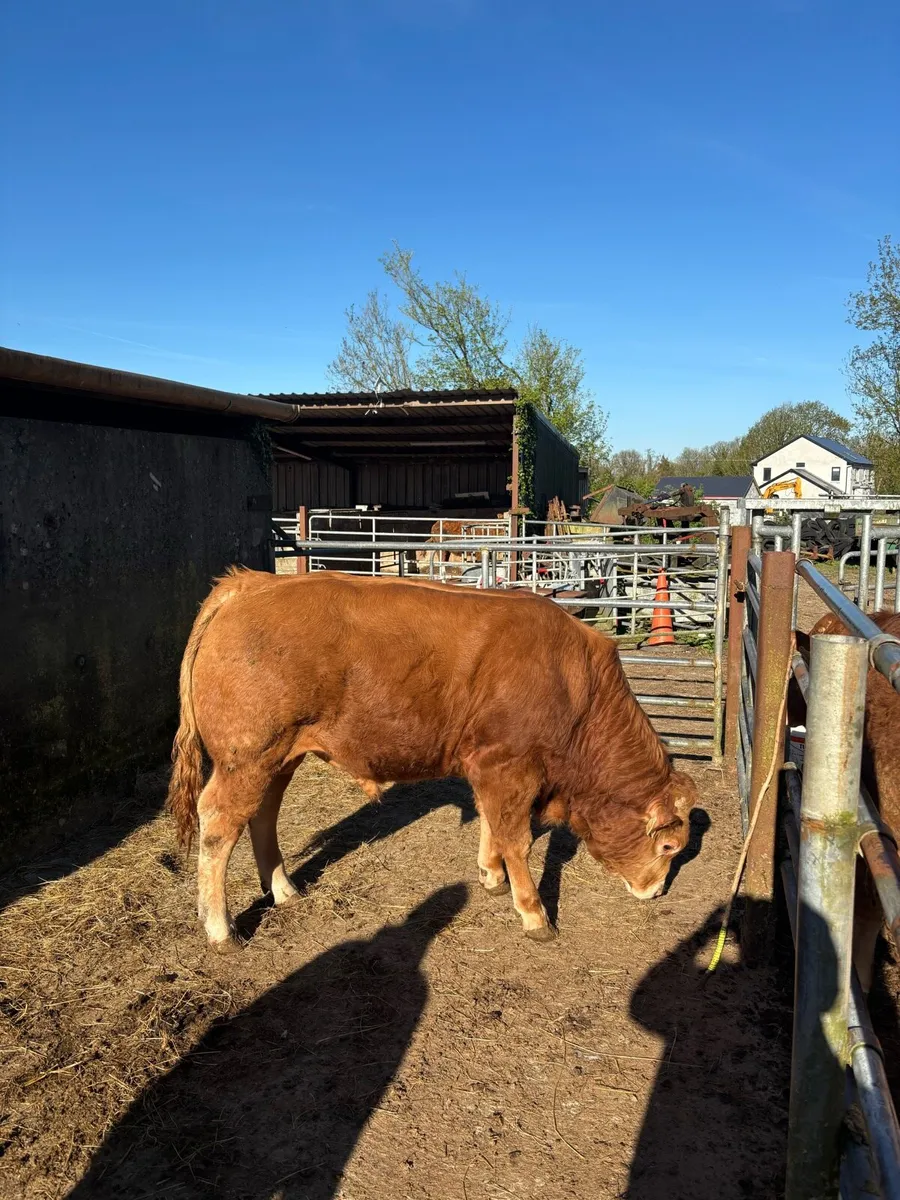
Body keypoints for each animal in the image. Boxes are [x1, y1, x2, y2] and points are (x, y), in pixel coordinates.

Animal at [167, 570, 696, 948]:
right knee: (218, 824)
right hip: (247, 758)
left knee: (262, 816)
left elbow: (491, 824)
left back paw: (284, 890)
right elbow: (517, 839)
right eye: (670, 847)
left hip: (278, 757)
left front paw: (491, 876)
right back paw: (221, 930)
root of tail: (250, 583)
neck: (573, 684)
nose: (656, 891)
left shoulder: (488, 767)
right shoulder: (511, 767)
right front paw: (534, 913)